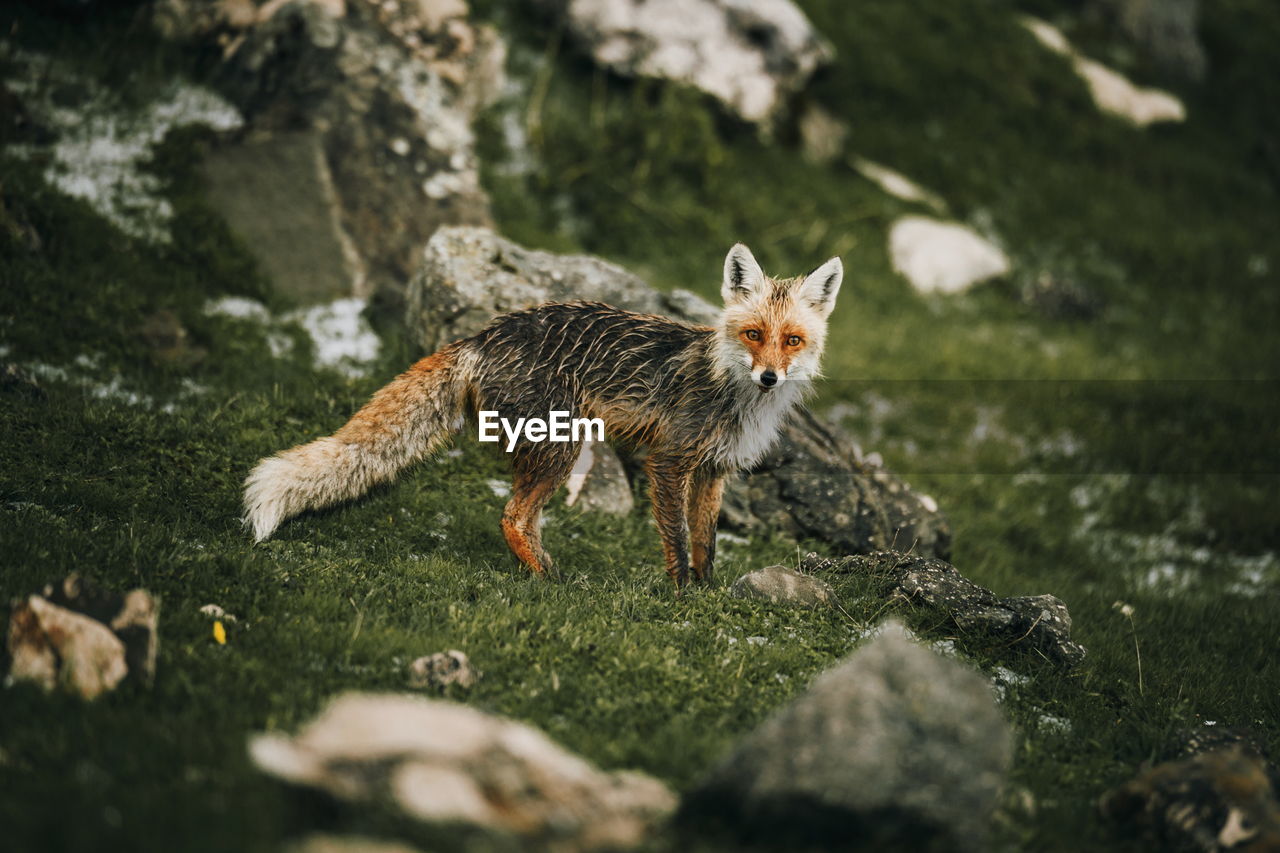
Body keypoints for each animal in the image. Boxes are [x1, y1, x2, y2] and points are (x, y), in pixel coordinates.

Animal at [240, 242, 844, 589]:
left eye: (792, 340)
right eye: (753, 335)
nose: (769, 378)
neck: (734, 396)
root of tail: (486, 333)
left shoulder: (715, 470)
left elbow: (705, 543)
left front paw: (708, 592)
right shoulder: (668, 461)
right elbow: (675, 539)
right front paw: (681, 599)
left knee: (523, 518)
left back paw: (549, 571)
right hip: (563, 447)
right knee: (511, 517)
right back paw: (549, 584)